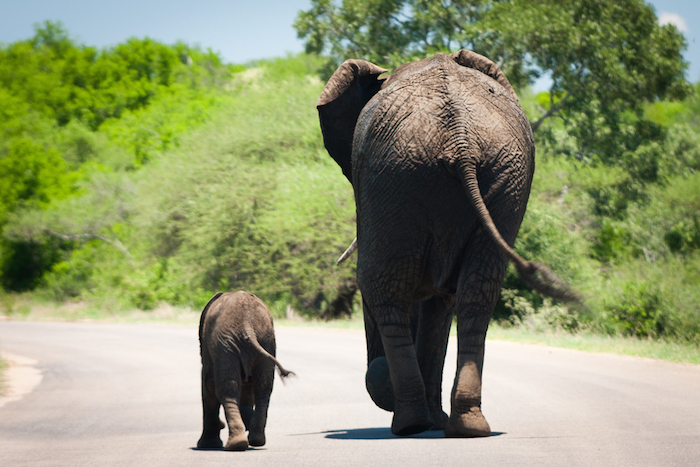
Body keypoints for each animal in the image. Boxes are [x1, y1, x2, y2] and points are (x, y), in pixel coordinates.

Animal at [194, 290, 292, 452]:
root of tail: (247, 325)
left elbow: (208, 386)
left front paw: (207, 445)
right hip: (266, 340)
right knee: (263, 389)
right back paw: (256, 440)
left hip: (226, 345)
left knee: (228, 389)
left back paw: (236, 445)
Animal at [318, 50, 580, 438]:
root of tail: (460, 141)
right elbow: (440, 299)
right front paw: (436, 421)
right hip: (499, 176)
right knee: (477, 293)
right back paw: (466, 426)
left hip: (398, 175)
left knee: (383, 285)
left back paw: (410, 424)